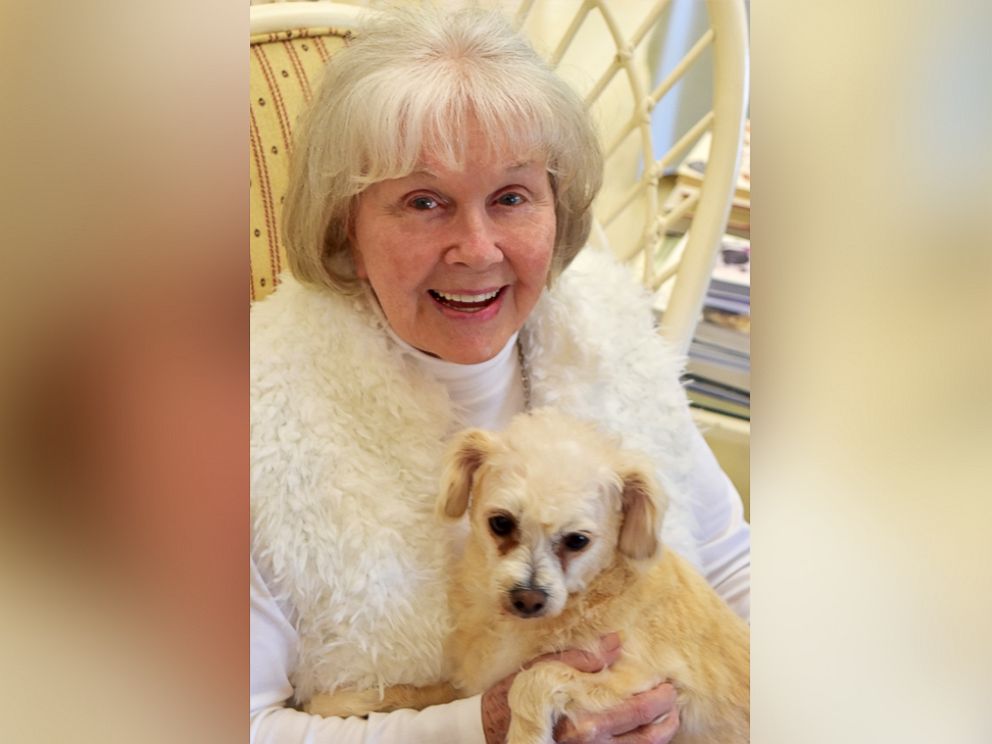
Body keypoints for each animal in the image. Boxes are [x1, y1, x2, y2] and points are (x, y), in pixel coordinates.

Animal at [306, 406, 748, 744]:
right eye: (501, 523)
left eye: (577, 540)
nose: (528, 598)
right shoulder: (472, 682)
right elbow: (411, 691)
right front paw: (336, 703)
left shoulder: (646, 682)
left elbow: (532, 679)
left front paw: (525, 736)